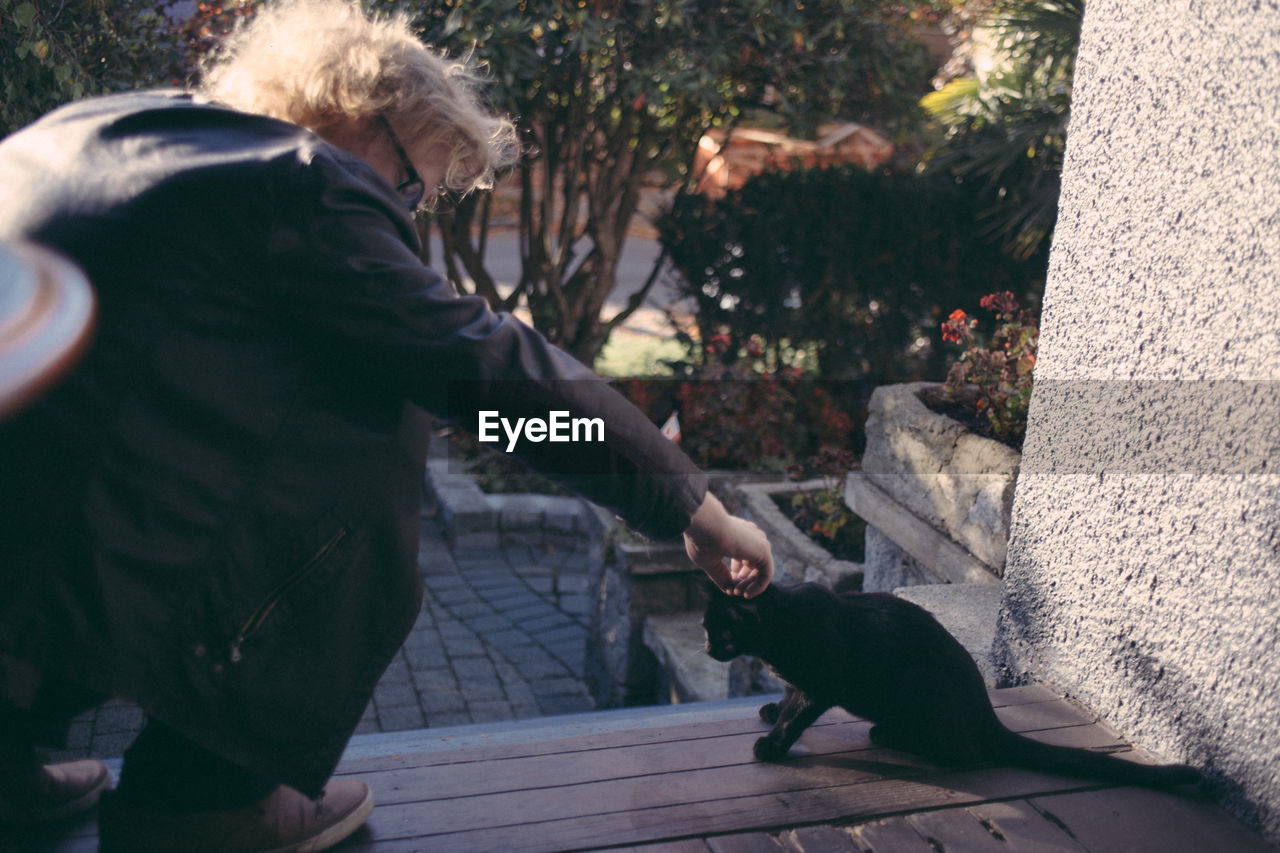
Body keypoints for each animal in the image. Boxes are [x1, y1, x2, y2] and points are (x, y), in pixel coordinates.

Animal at [701, 584, 1198, 783]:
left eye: (719, 633)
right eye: (705, 630)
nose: (705, 648)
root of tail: (986, 711)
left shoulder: (821, 683)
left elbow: (796, 716)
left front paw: (771, 743)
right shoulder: (797, 680)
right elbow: (786, 697)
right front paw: (771, 709)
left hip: (921, 685)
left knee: (967, 755)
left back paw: (894, 736)